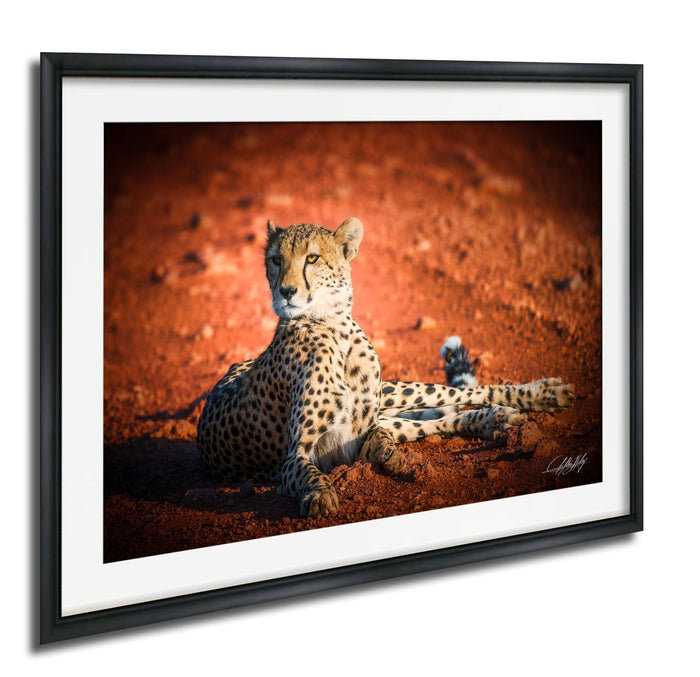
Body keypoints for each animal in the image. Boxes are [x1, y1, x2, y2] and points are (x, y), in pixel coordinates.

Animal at [197, 217, 575, 517]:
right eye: (276, 259)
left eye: (312, 258)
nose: (286, 291)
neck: (332, 326)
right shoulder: (305, 454)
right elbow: (312, 472)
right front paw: (320, 495)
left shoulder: (359, 431)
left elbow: (381, 435)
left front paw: (387, 454)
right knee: (432, 420)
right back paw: (493, 420)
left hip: (396, 392)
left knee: (456, 395)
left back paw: (541, 395)